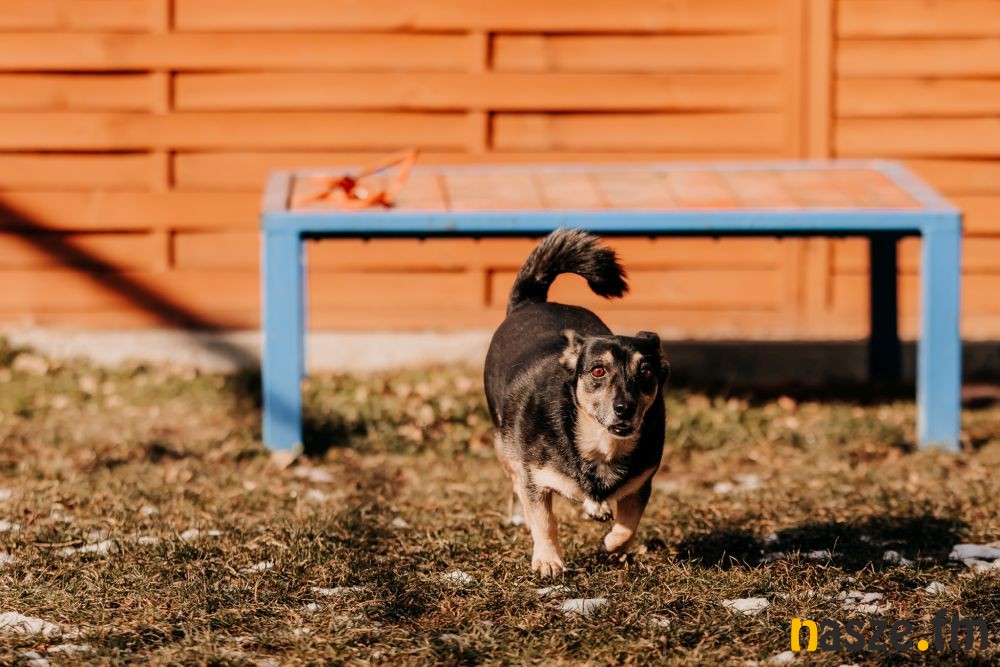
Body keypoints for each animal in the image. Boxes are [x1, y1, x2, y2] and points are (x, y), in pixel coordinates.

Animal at [484, 229, 669, 577]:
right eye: (597, 370)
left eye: (647, 372)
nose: (625, 408)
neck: (598, 442)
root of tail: (531, 301)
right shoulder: (535, 481)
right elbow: (544, 521)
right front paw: (548, 560)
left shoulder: (641, 485)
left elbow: (628, 525)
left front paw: (611, 545)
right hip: (504, 443)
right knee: (516, 483)